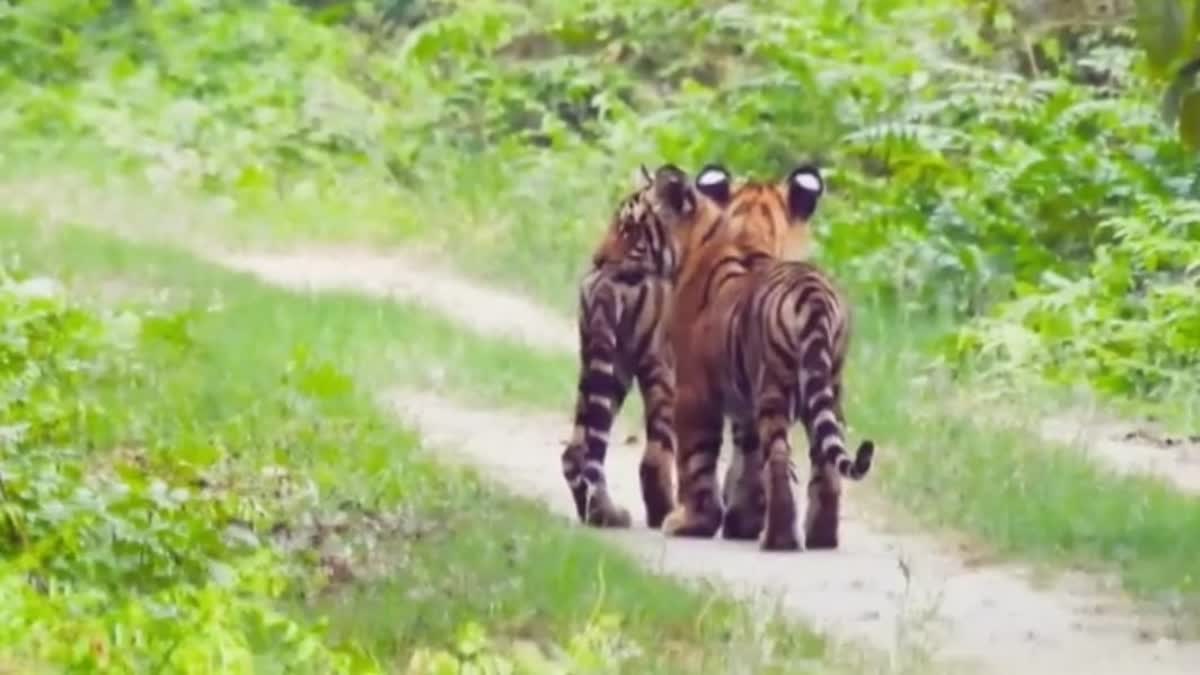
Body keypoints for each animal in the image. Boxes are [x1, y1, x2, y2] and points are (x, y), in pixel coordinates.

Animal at [559, 162, 720, 526]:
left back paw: (602, 512)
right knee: (654, 456)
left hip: (607, 364)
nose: (597, 258)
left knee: (579, 448)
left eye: (628, 231)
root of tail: (603, 282)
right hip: (660, 370)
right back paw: (662, 513)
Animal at [662, 162, 878, 547]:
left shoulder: (691, 391)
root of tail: (813, 296)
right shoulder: (743, 405)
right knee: (824, 461)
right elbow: (746, 459)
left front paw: (693, 523)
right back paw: (820, 537)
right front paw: (742, 522)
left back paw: (779, 540)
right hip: (830, 387)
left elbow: (696, 462)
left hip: (776, 387)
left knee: (777, 457)